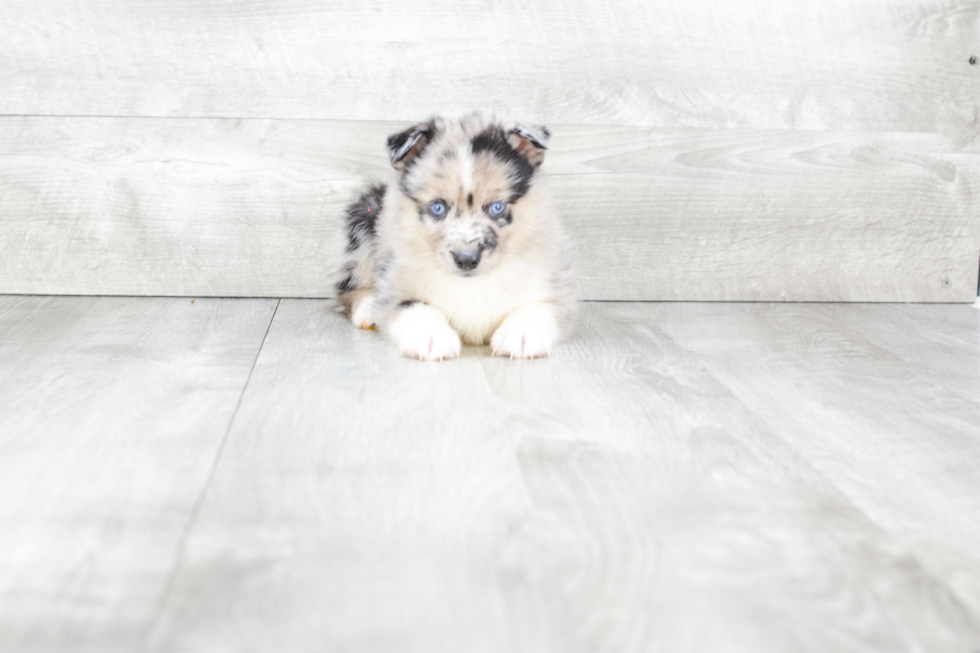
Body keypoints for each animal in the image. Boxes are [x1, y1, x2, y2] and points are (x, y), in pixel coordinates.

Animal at [334, 111, 576, 362]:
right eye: (437, 207)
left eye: (497, 207)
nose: (466, 259)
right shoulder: (395, 284)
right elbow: (414, 305)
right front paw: (430, 335)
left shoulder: (556, 286)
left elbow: (539, 306)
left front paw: (522, 333)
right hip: (363, 222)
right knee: (348, 286)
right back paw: (368, 307)